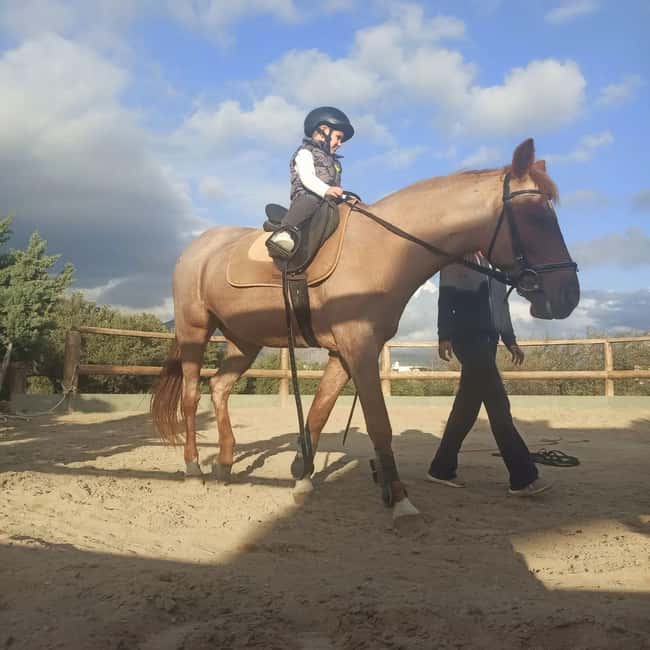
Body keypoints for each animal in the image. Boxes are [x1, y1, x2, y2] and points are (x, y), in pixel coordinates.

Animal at [151, 138, 579, 522]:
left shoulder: (343, 353)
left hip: (244, 341)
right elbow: (379, 424)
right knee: (191, 396)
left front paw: (302, 477)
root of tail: (197, 249)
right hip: (195, 331)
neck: (381, 249)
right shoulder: (359, 348)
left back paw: (224, 463)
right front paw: (399, 498)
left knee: (220, 387)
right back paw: (194, 468)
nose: (569, 296)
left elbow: (319, 414)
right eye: (536, 215)